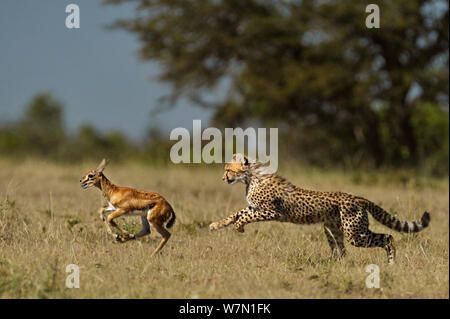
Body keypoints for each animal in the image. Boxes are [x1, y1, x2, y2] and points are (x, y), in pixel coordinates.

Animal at [209, 154, 430, 264]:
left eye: (227, 169)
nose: (222, 178)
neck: (251, 177)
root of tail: (357, 197)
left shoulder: (271, 211)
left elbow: (244, 216)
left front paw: (238, 227)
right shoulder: (255, 207)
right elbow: (238, 213)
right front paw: (216, 225)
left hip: (355, 233)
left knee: (388, 237)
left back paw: (391, 263)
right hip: (332, 228)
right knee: (342, 251)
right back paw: (333, 263)